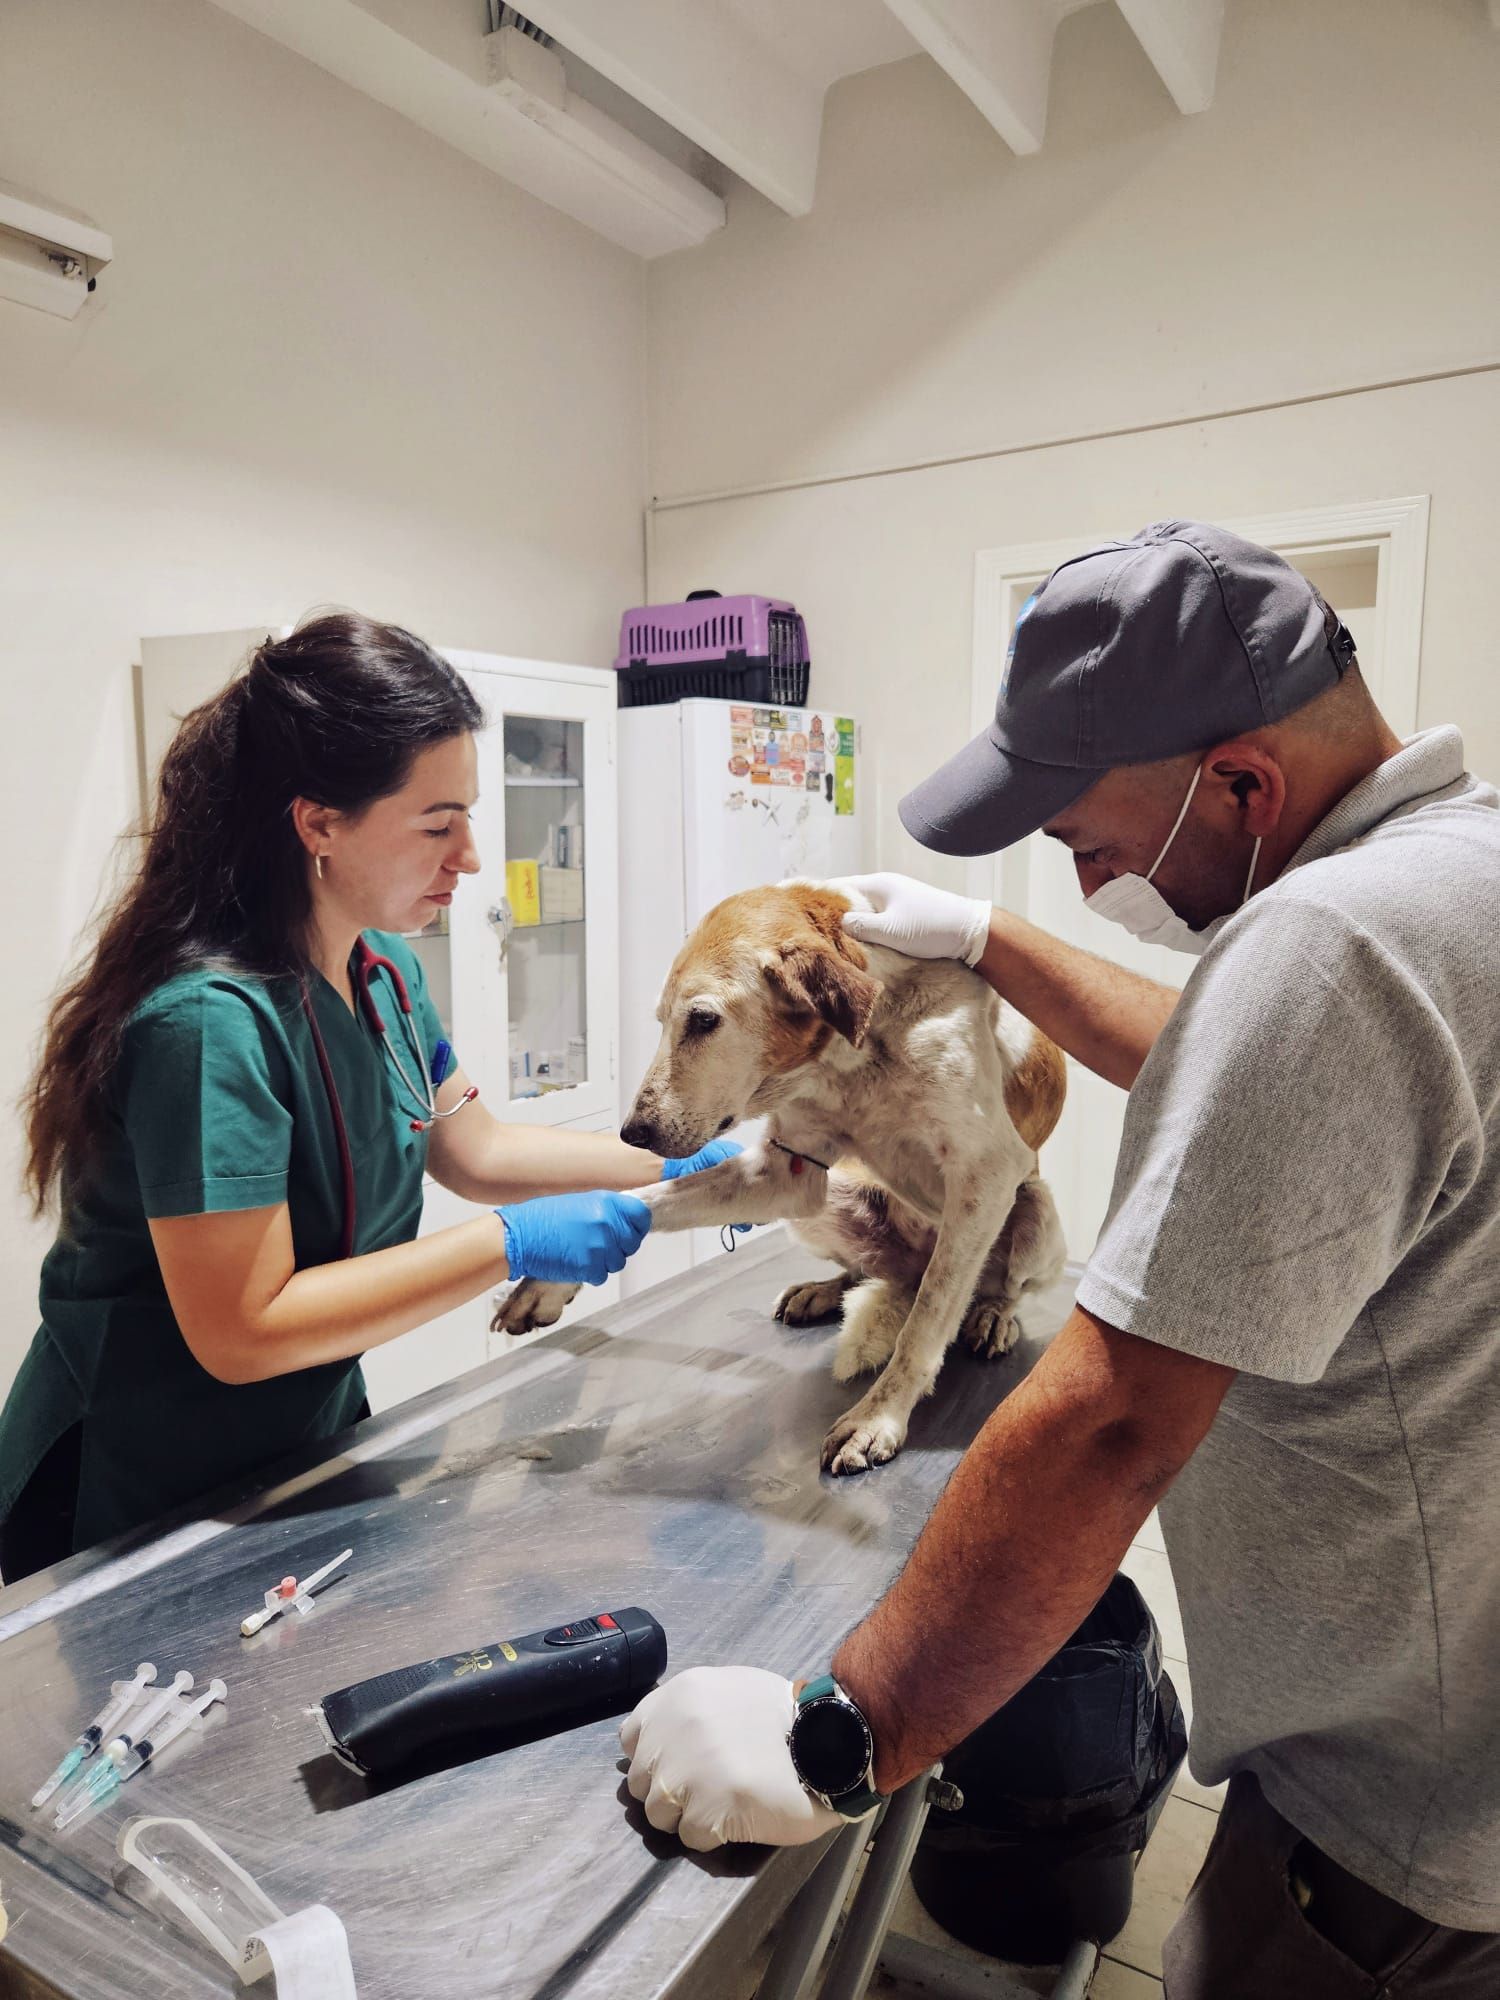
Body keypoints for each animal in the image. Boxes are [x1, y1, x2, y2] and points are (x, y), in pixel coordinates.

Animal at [500, 884, 1072, 1480]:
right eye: (660, 1019)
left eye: (702, 1020)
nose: (633, 1133)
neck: (854, 1057)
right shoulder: (785, 1174)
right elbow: (647, 1199)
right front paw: (553, 1269)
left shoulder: (984, 1175)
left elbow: (926, 1321)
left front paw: (877, 1417)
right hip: (827, 1203)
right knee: (871, 1272)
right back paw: (822, 1292)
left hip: (1034, 1213)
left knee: (980, 1287)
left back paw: (991, 1315)